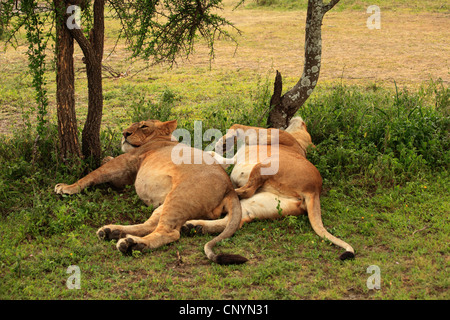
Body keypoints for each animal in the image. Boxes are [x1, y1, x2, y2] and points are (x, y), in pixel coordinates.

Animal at [55, 120, 250, 264]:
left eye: (143, 126)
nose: (124, 133)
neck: (164, 139)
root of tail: (230, 189)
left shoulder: (125, 161)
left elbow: (94, 174)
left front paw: (67, 188)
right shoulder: (127, 175)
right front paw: (104, 157)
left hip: (179, 196)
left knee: (169, 232)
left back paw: (132, 245)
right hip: (168, 202)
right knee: (150, 225)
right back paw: (113, 232)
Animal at [185, 117, 356, 260]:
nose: (302, 119)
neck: (299, 144)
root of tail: (314, 190)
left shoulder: (273, 133)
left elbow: (240, 126)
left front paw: (224, 141)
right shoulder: (235, 158)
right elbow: (216, 156)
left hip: (266, 166)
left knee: (246, 191)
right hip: (262, 202)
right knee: (234, 219)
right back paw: (193, 227)